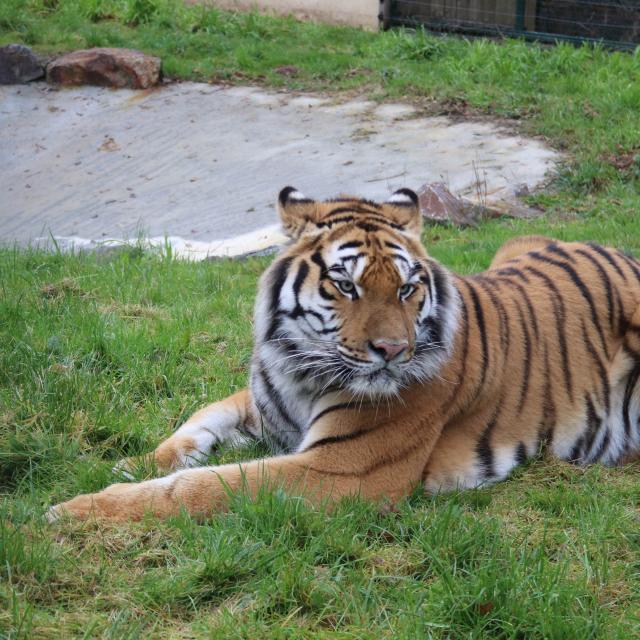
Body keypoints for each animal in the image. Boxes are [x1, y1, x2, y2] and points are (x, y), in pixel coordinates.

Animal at [47, 188, 640, 524]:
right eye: (345, 286)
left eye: (407, 289)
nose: (393, 351)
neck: (300, 367)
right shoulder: (260, 403)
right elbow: (192, 428)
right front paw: (129, 464)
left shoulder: (342, 468)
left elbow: (204, 486)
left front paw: (76, 509)